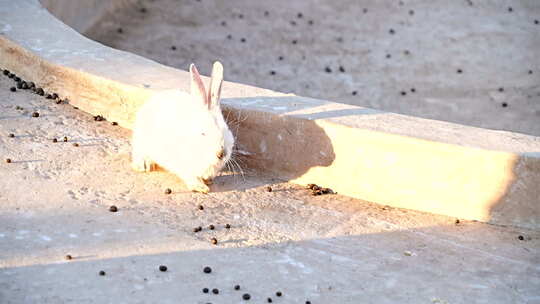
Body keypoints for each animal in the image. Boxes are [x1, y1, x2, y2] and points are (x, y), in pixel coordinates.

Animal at [132, 62, 234, 194]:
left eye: (227, 131)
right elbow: (191, 177)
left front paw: (208, 181)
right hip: (141, 141)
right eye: (203, 133)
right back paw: (145, 165)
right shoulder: (184, 166)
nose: (221, 154)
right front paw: (201, 188)